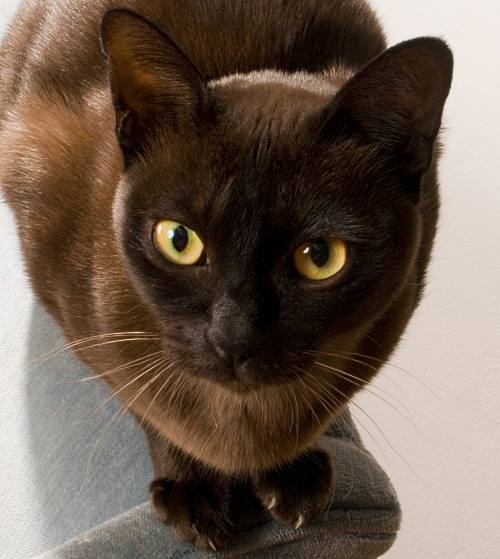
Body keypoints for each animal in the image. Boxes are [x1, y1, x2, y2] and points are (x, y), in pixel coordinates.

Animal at [0, 0, 454, 552]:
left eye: (320, 256)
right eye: (179, 240)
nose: (232, 338)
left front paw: (290, 475)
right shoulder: (87, 324)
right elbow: (150, 405)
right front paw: (193, 491)